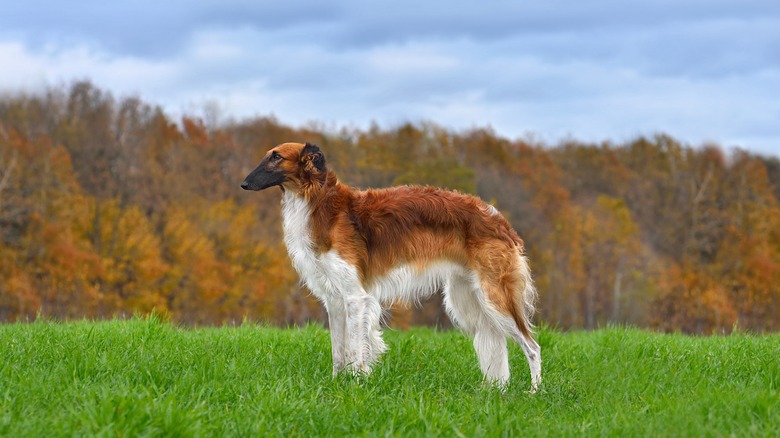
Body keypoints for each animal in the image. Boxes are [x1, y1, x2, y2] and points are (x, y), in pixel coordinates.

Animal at [241, 142, 540, 388]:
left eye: (276, 157)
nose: (243, 183)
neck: (320, 205)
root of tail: (499, 220)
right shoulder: (335, 300)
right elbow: (338, 351)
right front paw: (337, 383)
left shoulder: (355, 297)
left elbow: (354, 349)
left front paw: (356, 384)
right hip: (468, 296)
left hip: (494, 295)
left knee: (532, 346)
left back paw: (534, 392)